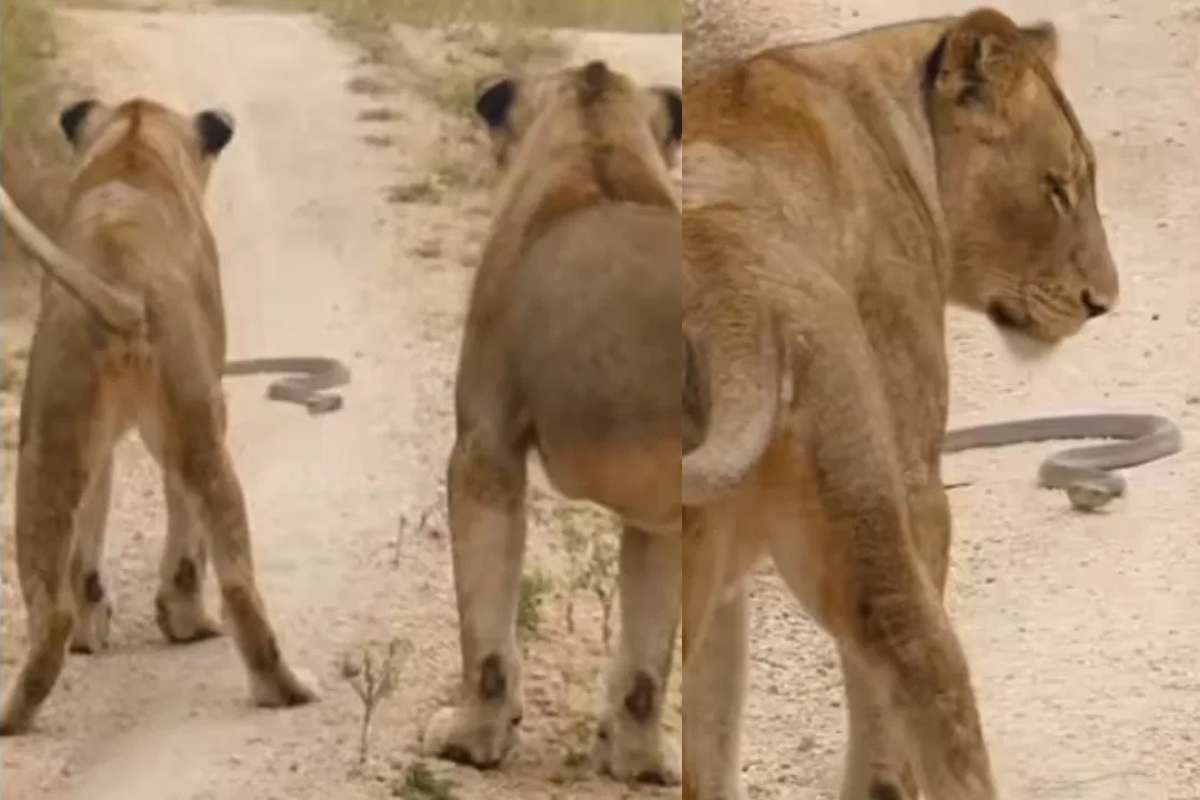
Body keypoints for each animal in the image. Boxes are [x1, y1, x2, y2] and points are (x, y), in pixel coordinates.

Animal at [0, 97, 319, 736]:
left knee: (53, 609)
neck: (133, 147)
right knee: (236, 580)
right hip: (196, 433)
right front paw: (168, 618)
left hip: (47, 443)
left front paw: (102, 625)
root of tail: (121, 283)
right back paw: (273, 681)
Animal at [420, 61, 683, 785]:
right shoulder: (661, 520)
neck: (595, 152)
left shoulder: (484, 446)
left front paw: (470, 742)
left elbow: (484, 627)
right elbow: (647, 660)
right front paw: (637, 762)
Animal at [682, 8, 1119, 800]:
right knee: (927, 670)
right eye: (1057, 189)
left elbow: (714, 722)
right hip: (866, 513)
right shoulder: (916, 476)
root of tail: (730, 298)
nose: (1102, 302)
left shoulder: (722, 581)